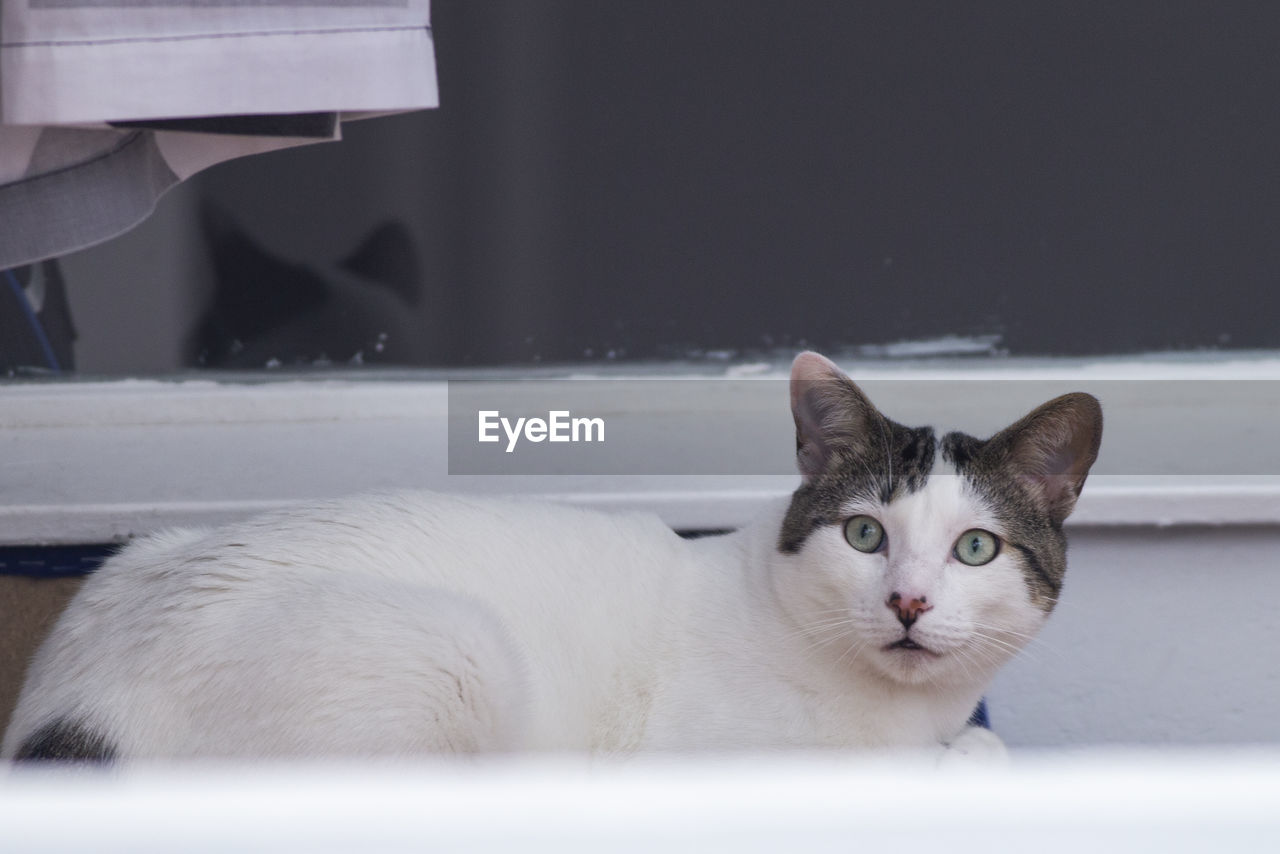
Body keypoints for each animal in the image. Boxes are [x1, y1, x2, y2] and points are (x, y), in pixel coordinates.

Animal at [0, 350, 1100, 763]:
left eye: (973, 547)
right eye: (865, 532)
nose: (909, 601)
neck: (903, 719)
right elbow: (973, 757)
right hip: (453, 647)